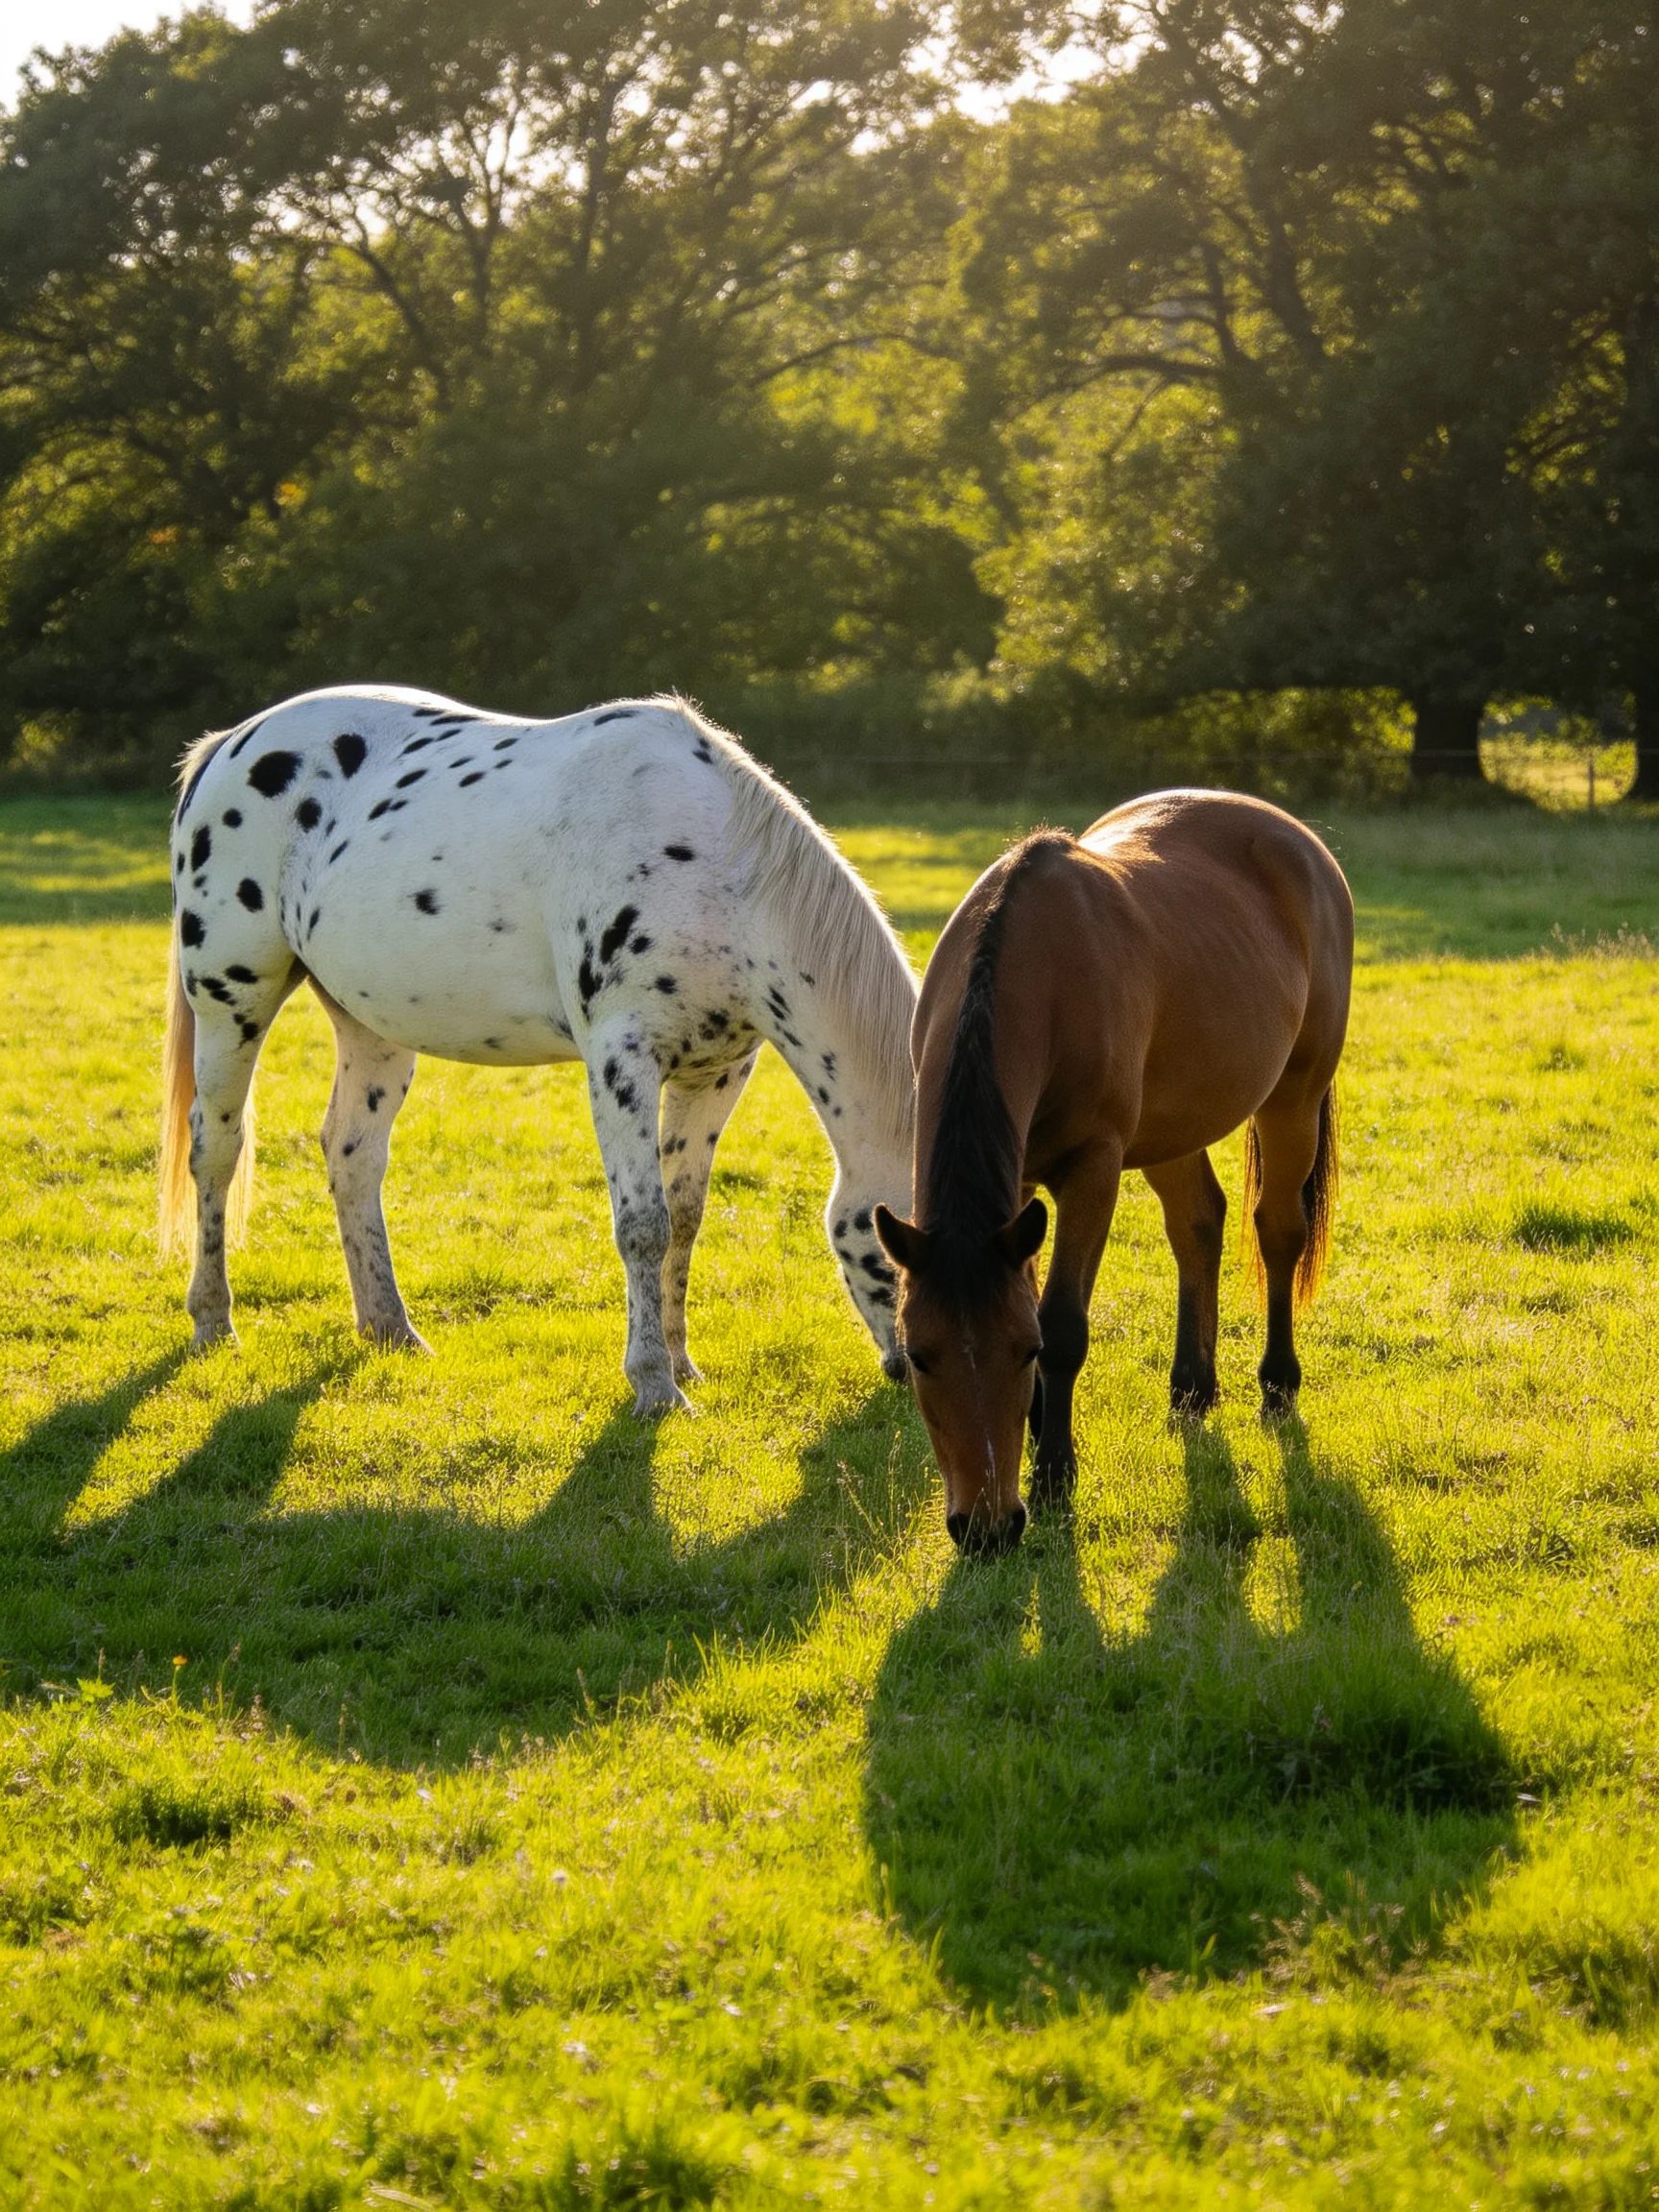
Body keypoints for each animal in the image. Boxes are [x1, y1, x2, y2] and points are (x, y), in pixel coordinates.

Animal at [158, 686, 916, 1412]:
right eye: (891, 1251)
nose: (912, 1370)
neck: (716, 873)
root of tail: (233, 741)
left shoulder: (716, 1073)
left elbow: (686, 1218)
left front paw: (681, 1364)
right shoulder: (620, 1062)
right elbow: (644, 1224)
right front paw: (654, 1386)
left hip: (369, 1024)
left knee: (353, 1154)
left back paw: (390, 1328)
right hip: (231, 1001)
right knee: (216, 1149)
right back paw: (214, 1323)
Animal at [874, 791, 1354, 1555]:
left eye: (1024, 1351)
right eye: (920, 1356)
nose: (986, 1528)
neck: (1034, 971)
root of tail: (1296, 838)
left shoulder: (1092, 1169)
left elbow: (1066, 1322)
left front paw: (1053, 1473)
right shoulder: (1019, 1187)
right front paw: (1043, 1438)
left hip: (1294, 1098)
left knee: (1278, 1231)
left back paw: (1277, 1385)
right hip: (1173, 1126)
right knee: (1198, 1224)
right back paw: (1192, 1388)